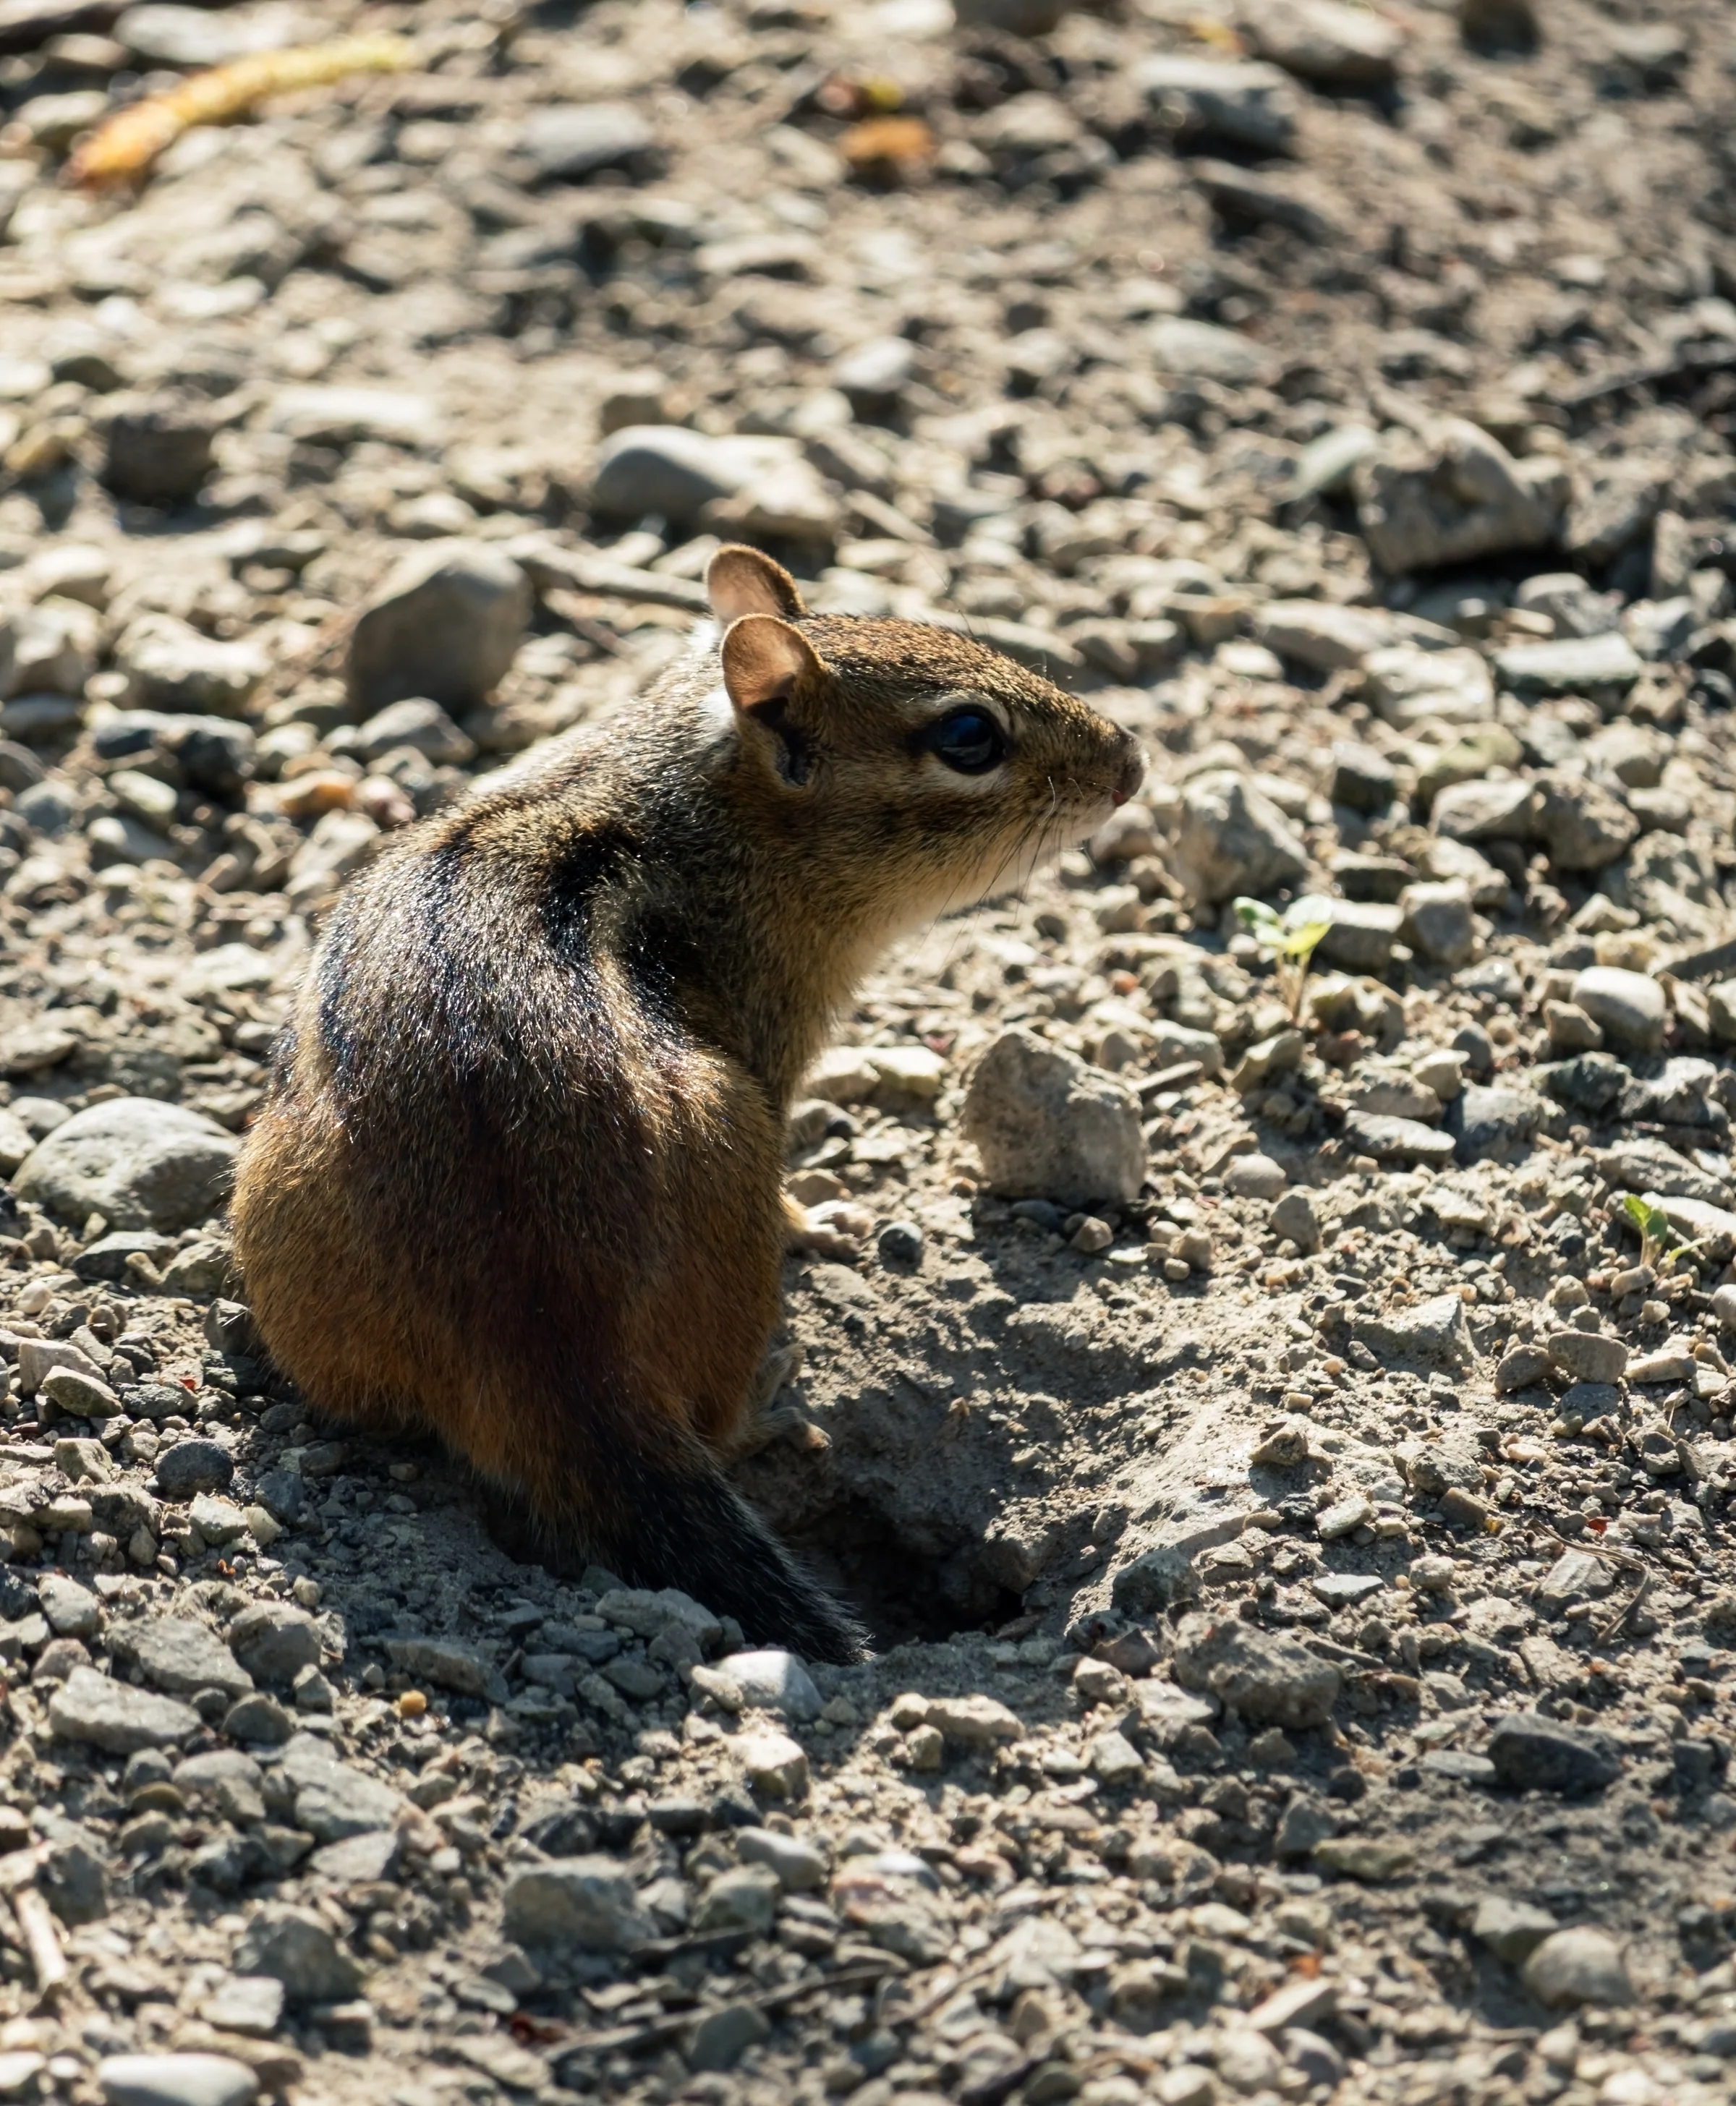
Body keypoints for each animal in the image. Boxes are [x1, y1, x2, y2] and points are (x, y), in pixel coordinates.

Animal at [231, 544, 1143, 1663]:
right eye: (969, 736)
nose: (1131, 762)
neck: (694, 810)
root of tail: (552, 1352)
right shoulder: (773, 1038)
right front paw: (821, 1217)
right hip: (732, 1133)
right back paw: (769, 1407)